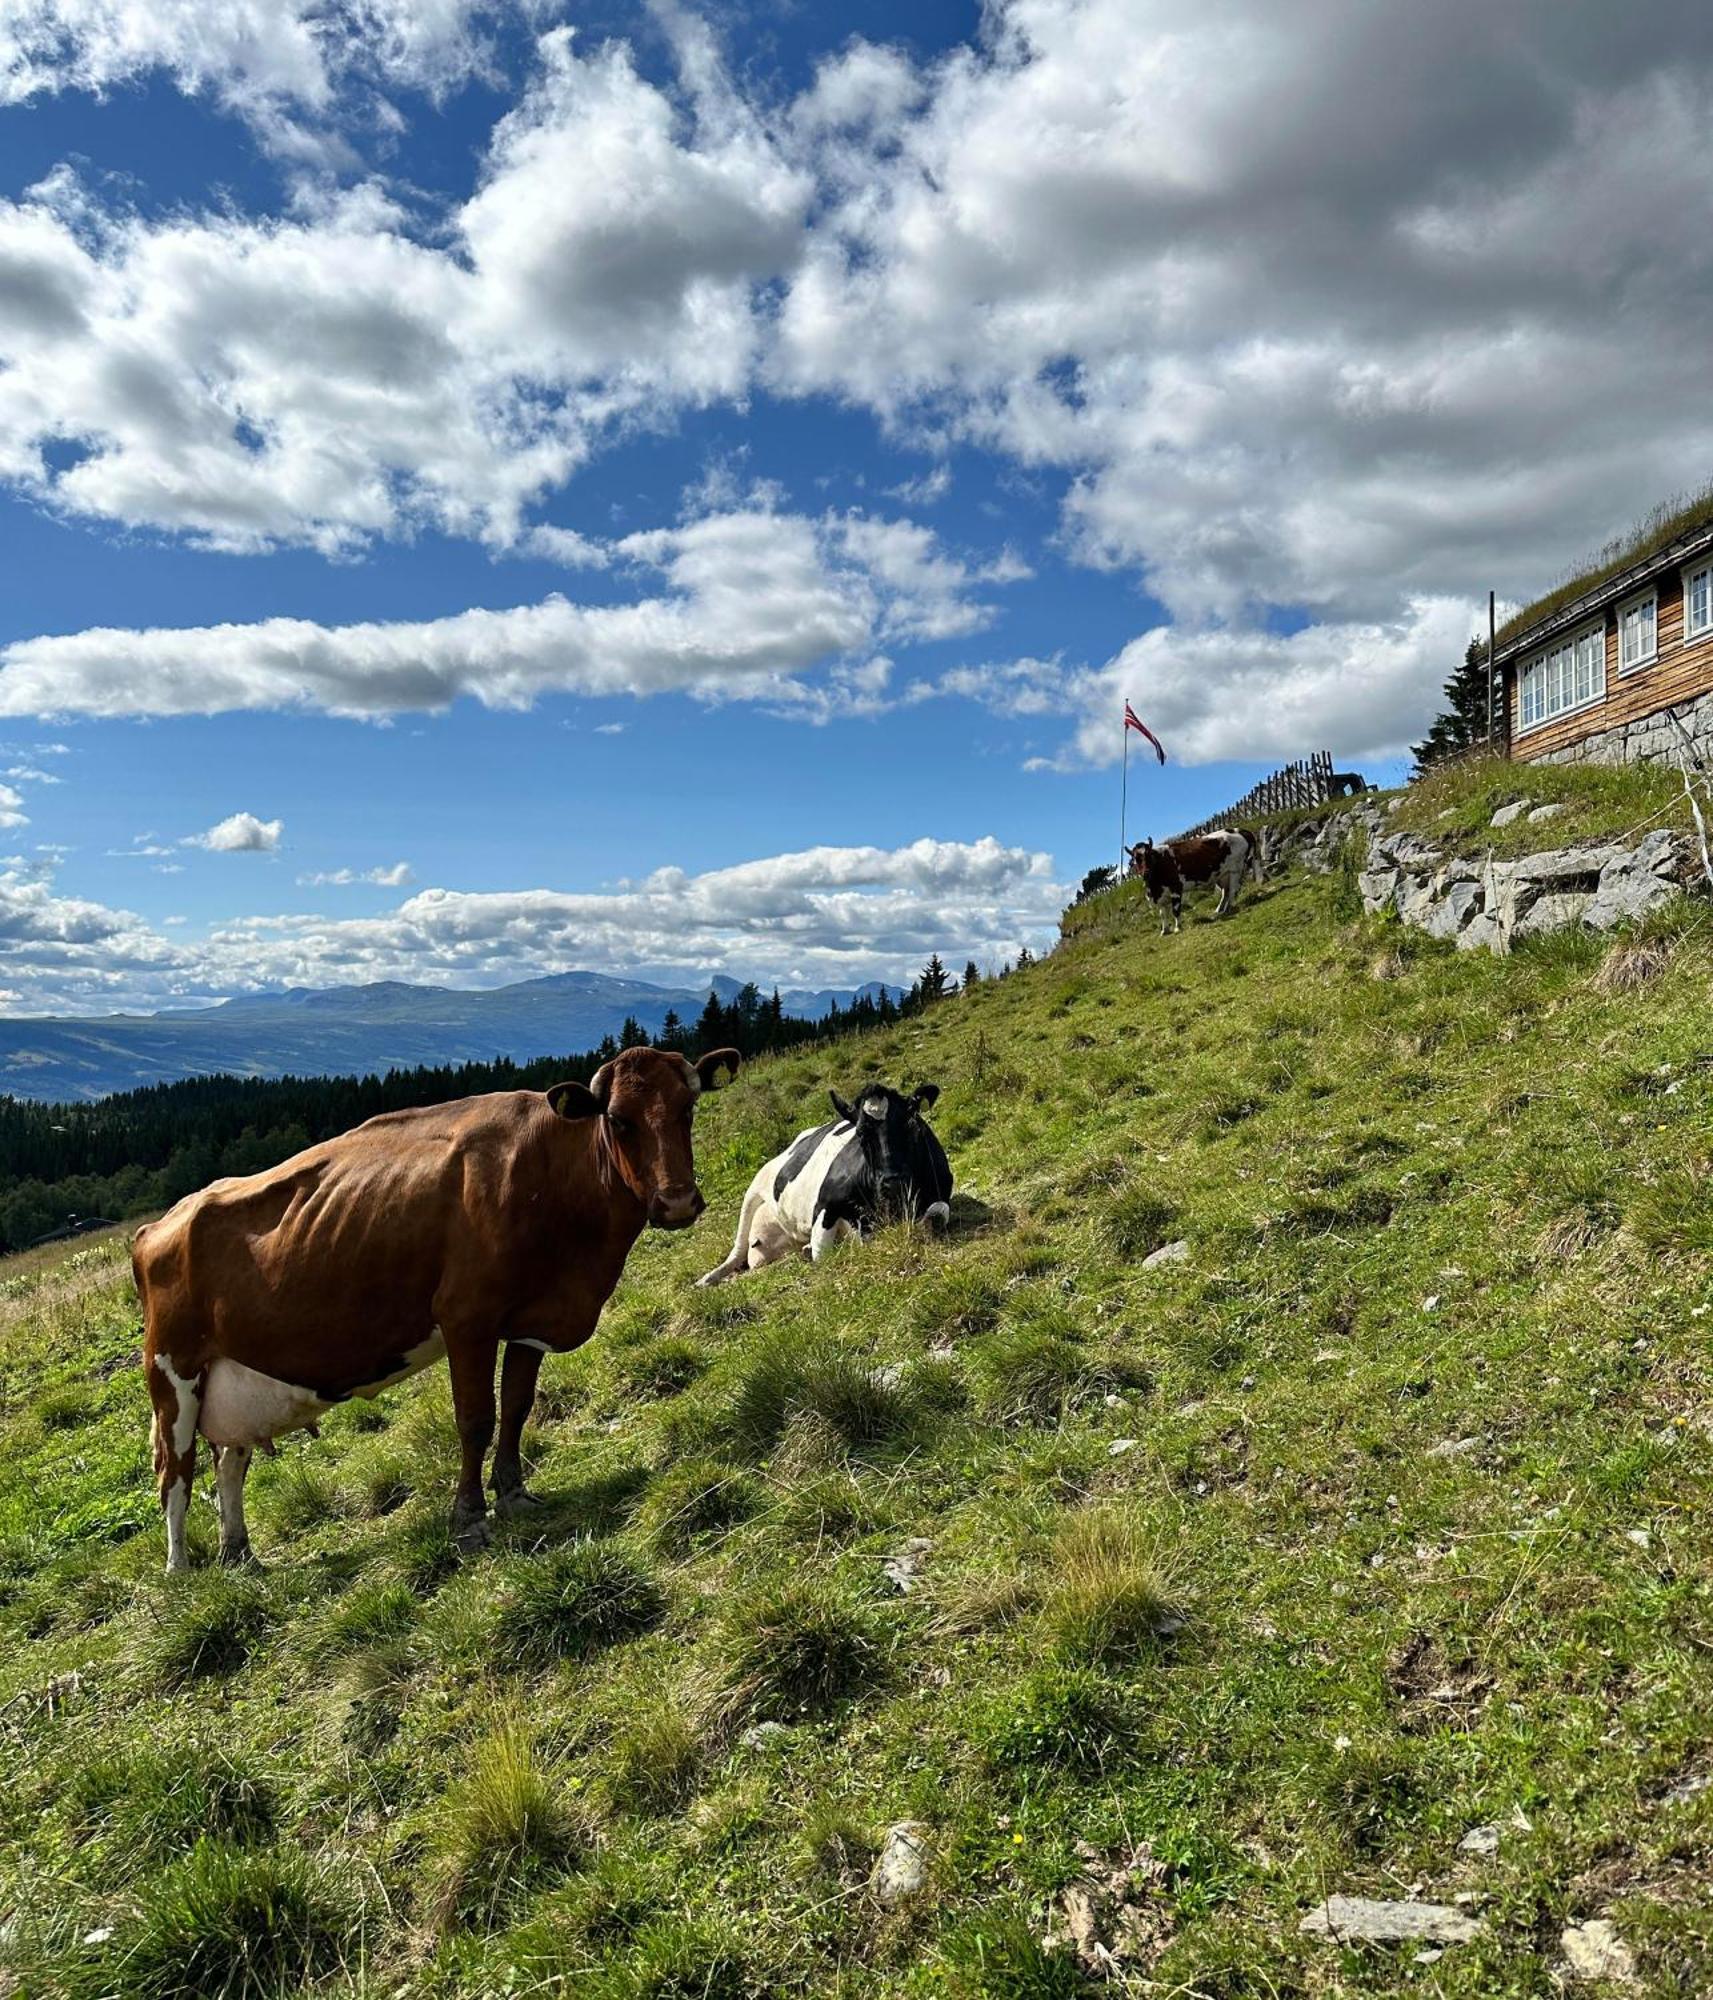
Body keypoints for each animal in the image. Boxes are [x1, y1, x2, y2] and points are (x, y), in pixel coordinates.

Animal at [135, 1040, 744, 1568]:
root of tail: (161, 1221)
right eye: (618, 1119)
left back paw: (240, 1556)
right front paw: (469, 1519)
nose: (677, 1202)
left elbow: (517, 1407)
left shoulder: (533, 1316)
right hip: (173, 1375)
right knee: (175, 1472)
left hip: (231, 1378)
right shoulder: (466, 1317)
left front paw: (514, 1494)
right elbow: (476, 1419)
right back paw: (181, 1573)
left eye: (688, 1108)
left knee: (229, 1463)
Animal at [704, 1080, 956, 1280]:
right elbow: (822, 1254)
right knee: (737, 1248)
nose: (892, 1182)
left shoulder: (941, 1192)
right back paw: (707, 1279)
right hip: (753, 1189)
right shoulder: (825, 1205)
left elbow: (935, 1217)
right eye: (861, 1133)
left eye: (909, 1124)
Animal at [1120, 828, 1256, 936]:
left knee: (1233, 890)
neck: (1154, 886)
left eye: (1149, 856)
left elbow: (1175, 910)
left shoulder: (1175, 888)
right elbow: (1163, 913)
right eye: (1136, 859)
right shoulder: (1160, 895)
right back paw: (1219, 910)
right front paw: (1164, 930)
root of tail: (1239, 830)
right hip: (1221, 874)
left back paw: (1229, 907)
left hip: (1235, 869)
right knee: (1225, 891)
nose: (1146, 873)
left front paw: (1177, 928)